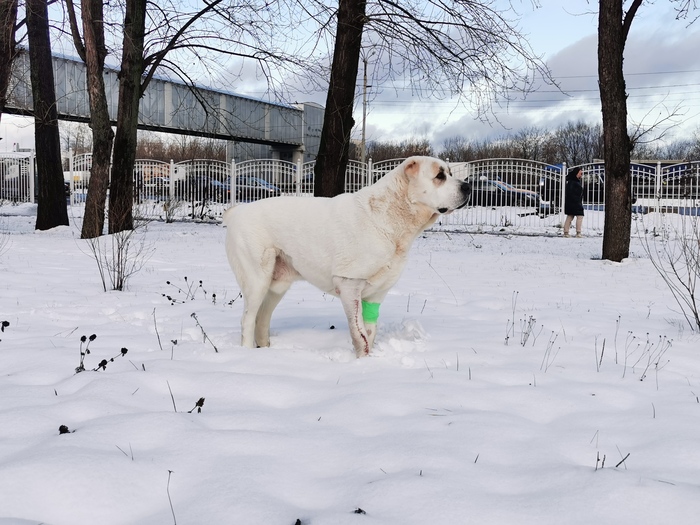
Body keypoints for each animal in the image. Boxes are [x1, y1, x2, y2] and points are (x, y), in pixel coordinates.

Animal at [223, 156, 471, 357]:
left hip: (277, 285)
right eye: (439, 176)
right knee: (248, 319)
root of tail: (236, 211)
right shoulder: (349, 284)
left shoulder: (376, 295)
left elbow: (369, 333)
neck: (388, 217)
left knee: (262, 318)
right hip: (257, 280)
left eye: (449, 173)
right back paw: (247, 354)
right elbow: (358, 335)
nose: (468, 186)